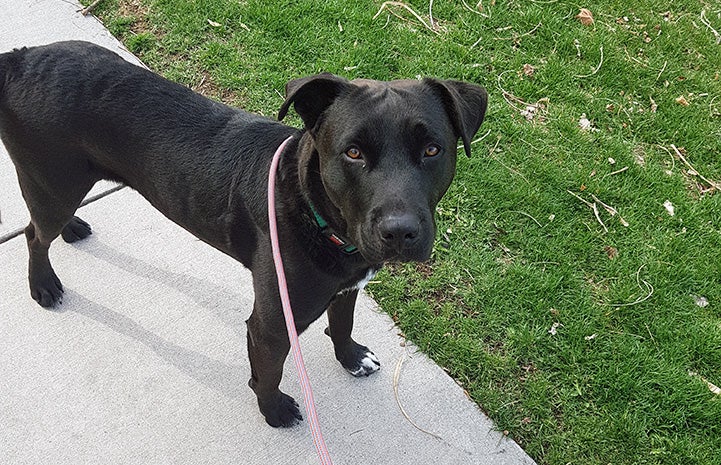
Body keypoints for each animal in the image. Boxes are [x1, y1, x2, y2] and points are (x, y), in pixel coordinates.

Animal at [0, 41, 486, 426]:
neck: (313, 209)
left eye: (432, 149)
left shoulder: (347, 285)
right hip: (51, 183)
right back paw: (43, 284)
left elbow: (343, 322)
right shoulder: (272, 324)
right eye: (353, 153)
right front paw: (273, 410)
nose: (399, 232)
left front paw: (351, 357)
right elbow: (268, 372)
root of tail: (20, 58)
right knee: (32, 234)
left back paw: (72, 228)